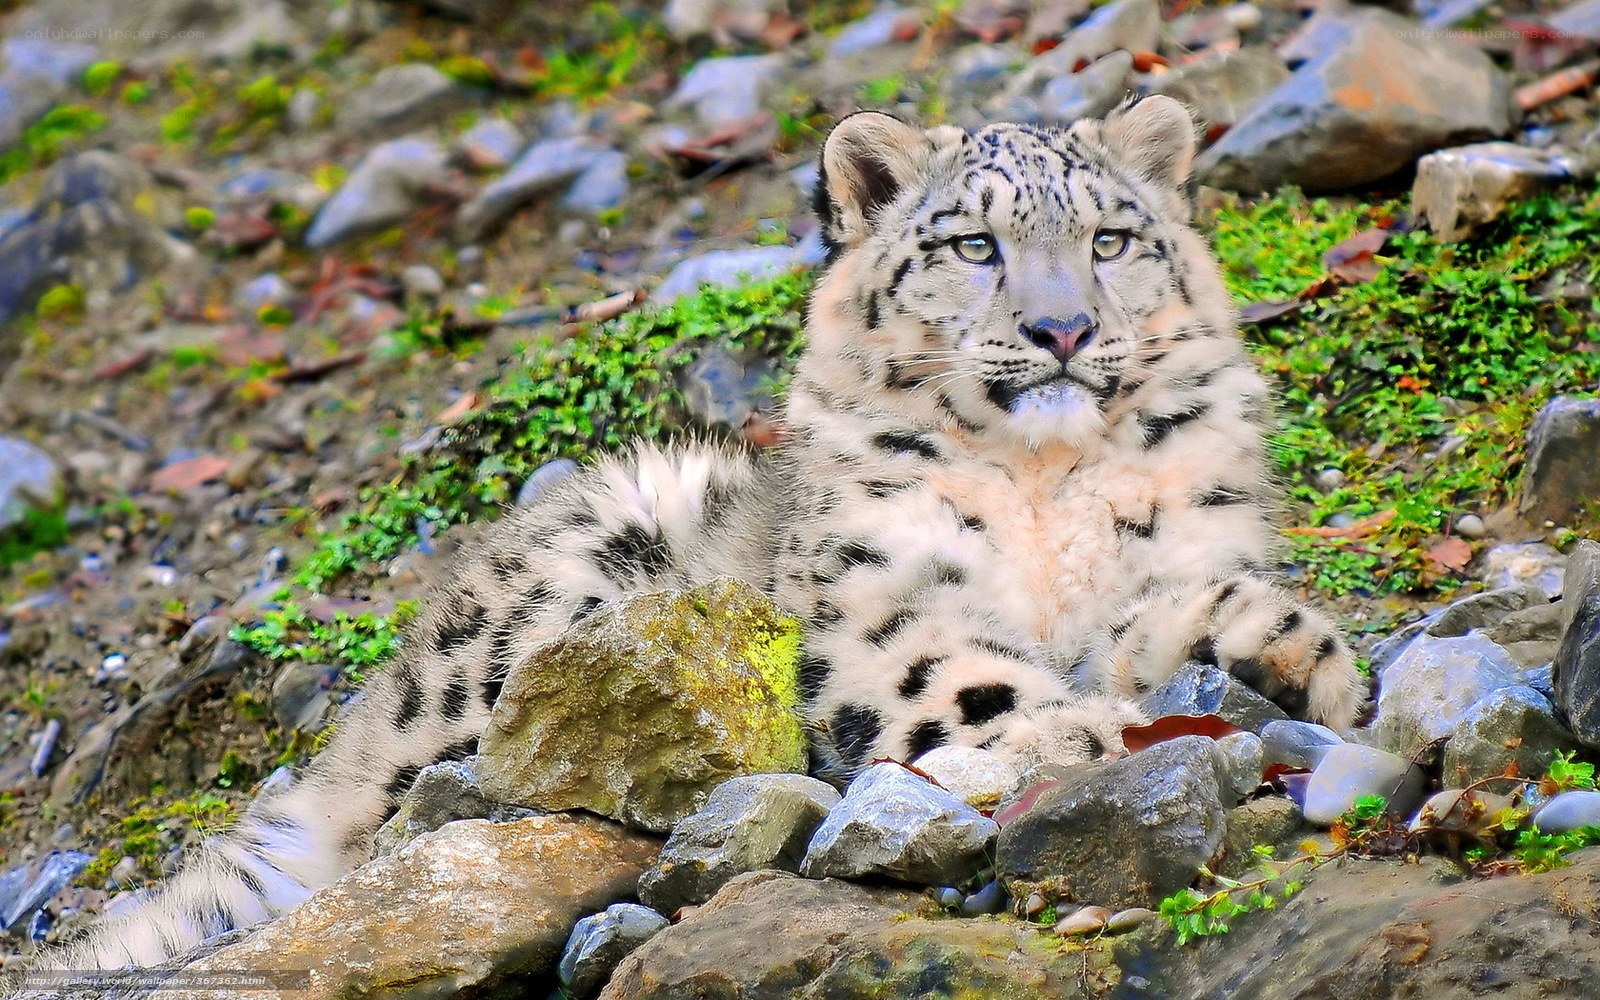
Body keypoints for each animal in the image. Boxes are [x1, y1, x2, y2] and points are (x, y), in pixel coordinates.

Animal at [39, 96, 1364, 973]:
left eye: (1110, 240)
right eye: (972, 244)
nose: (1060, 331)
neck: (1047, 488)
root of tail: (355, 737)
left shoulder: (1170, 556)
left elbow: (1181, 611)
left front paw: (1300, 656)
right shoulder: (876, 613)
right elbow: (958, 677)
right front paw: (1072, 728)